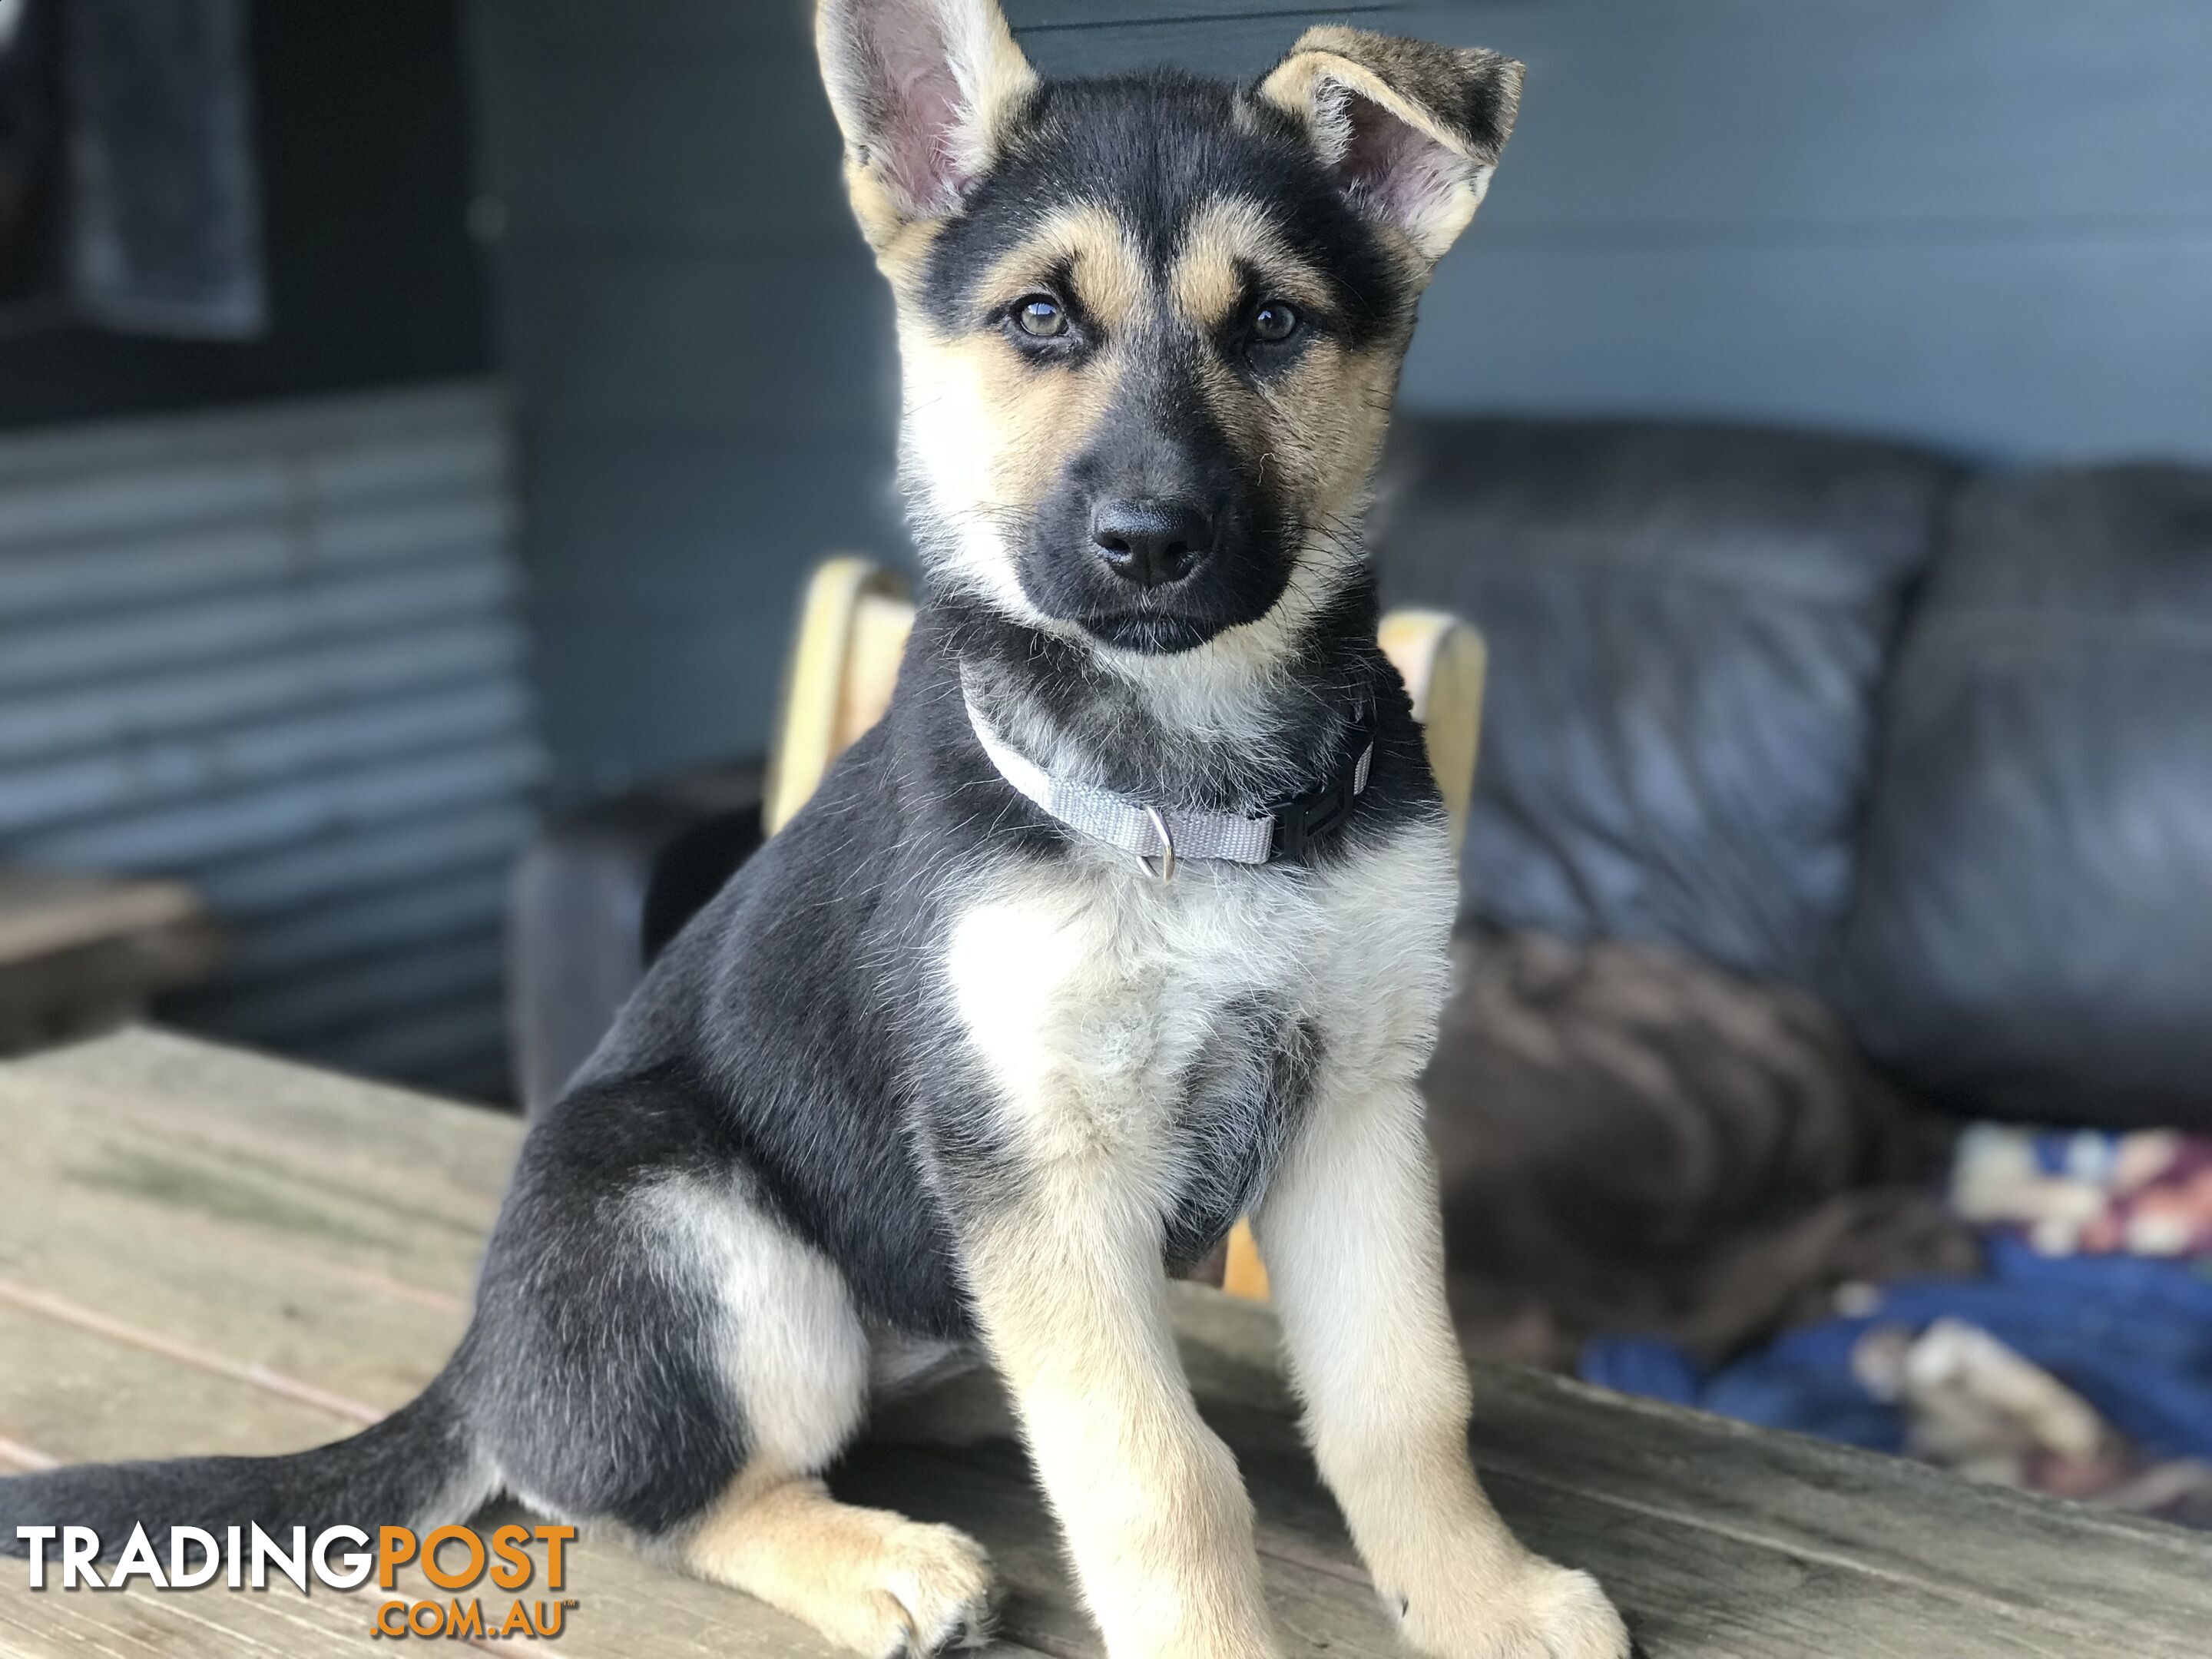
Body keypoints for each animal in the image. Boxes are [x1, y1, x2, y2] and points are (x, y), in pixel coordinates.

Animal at [4, 0, 1628, 1654]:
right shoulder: (1036, 1158)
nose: (1151, 545)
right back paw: (877, 1561)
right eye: (1041, 320)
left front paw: (1482, 1595)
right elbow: (1160, 1477)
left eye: (1276, 327)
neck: (1184, 785)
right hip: (694, 1228)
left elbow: (1402, 1401)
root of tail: (482, 1359)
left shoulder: (1358, 1104)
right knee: (659, 1493)